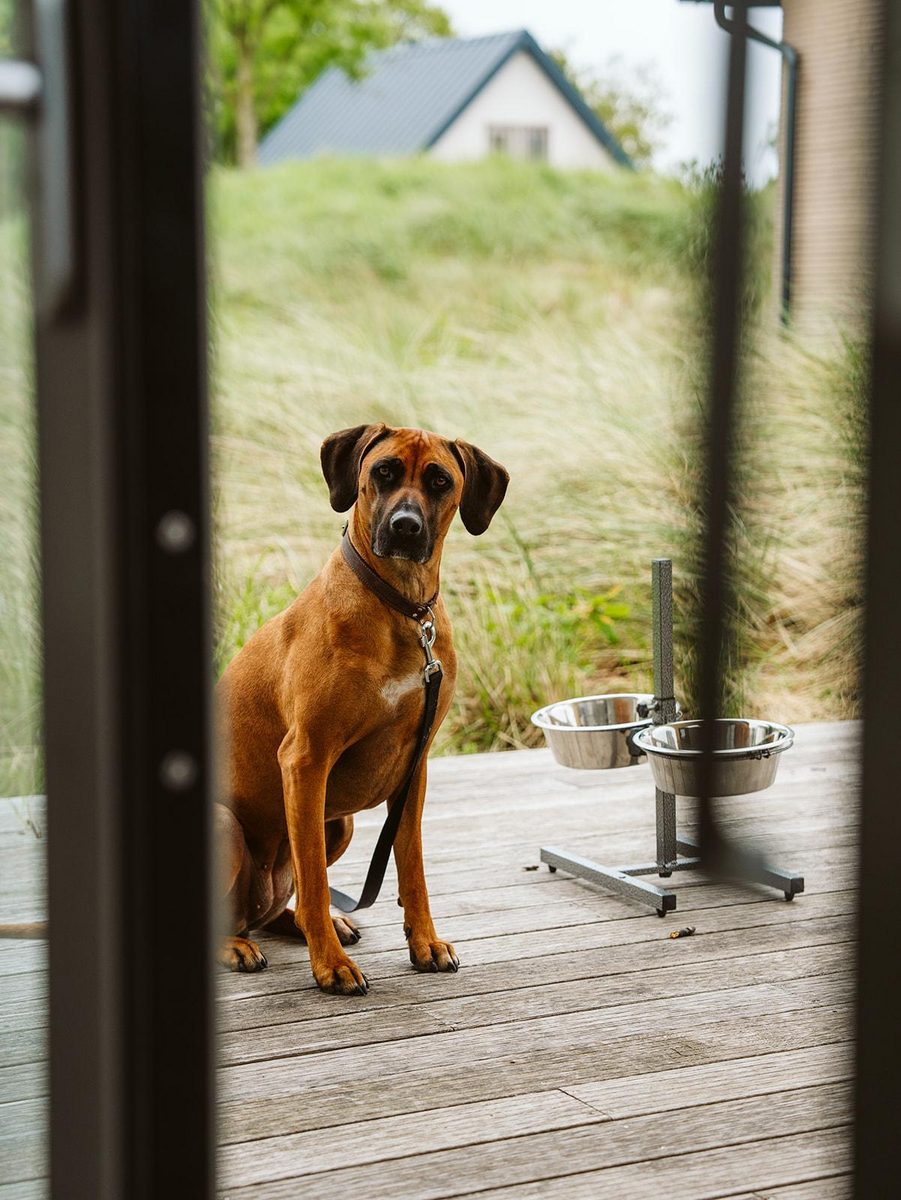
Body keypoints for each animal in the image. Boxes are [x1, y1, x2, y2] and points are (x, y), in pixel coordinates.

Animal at [217, 424, 508, 993]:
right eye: (383, 472)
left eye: (440, 481)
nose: (405, 527)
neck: (400, 608)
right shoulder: (305, 760)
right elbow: (315, 878)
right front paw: (330, 965)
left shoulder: (415, 766)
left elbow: (412, 869)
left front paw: (425, 943)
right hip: (230, 823)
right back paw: (239, 943)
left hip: (340, 824)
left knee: (278, 909)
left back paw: (316, 921)